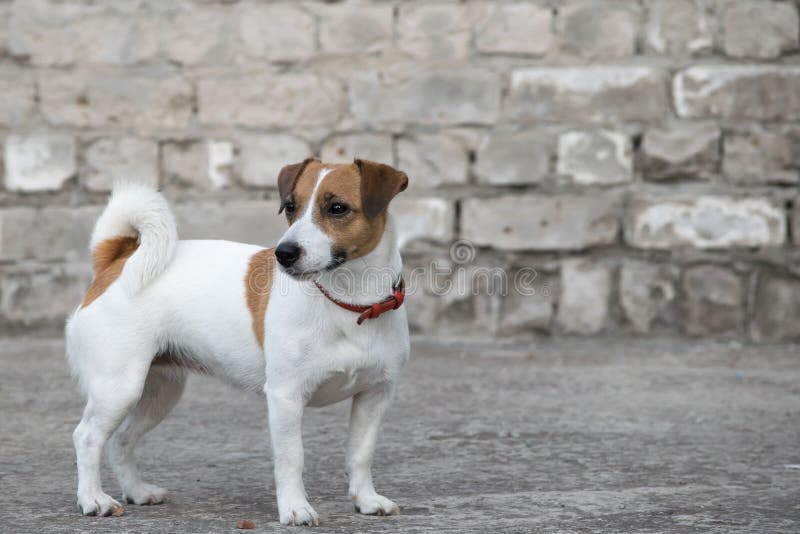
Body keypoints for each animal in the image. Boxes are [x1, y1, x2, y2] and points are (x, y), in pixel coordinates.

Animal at [65, 159, 410, 528]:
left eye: (338, 208)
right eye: (291, 206)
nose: (284, 253)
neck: (348, 303)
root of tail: (118, 261)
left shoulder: (374, 396)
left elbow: (360, 454)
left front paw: (366, 500)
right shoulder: (286, 397)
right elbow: (292, 458)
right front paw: (295, 508)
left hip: (159, 393)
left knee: (121, 440)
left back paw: (137, 492)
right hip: (119, 389)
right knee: (87, 437)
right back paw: (93, 500)